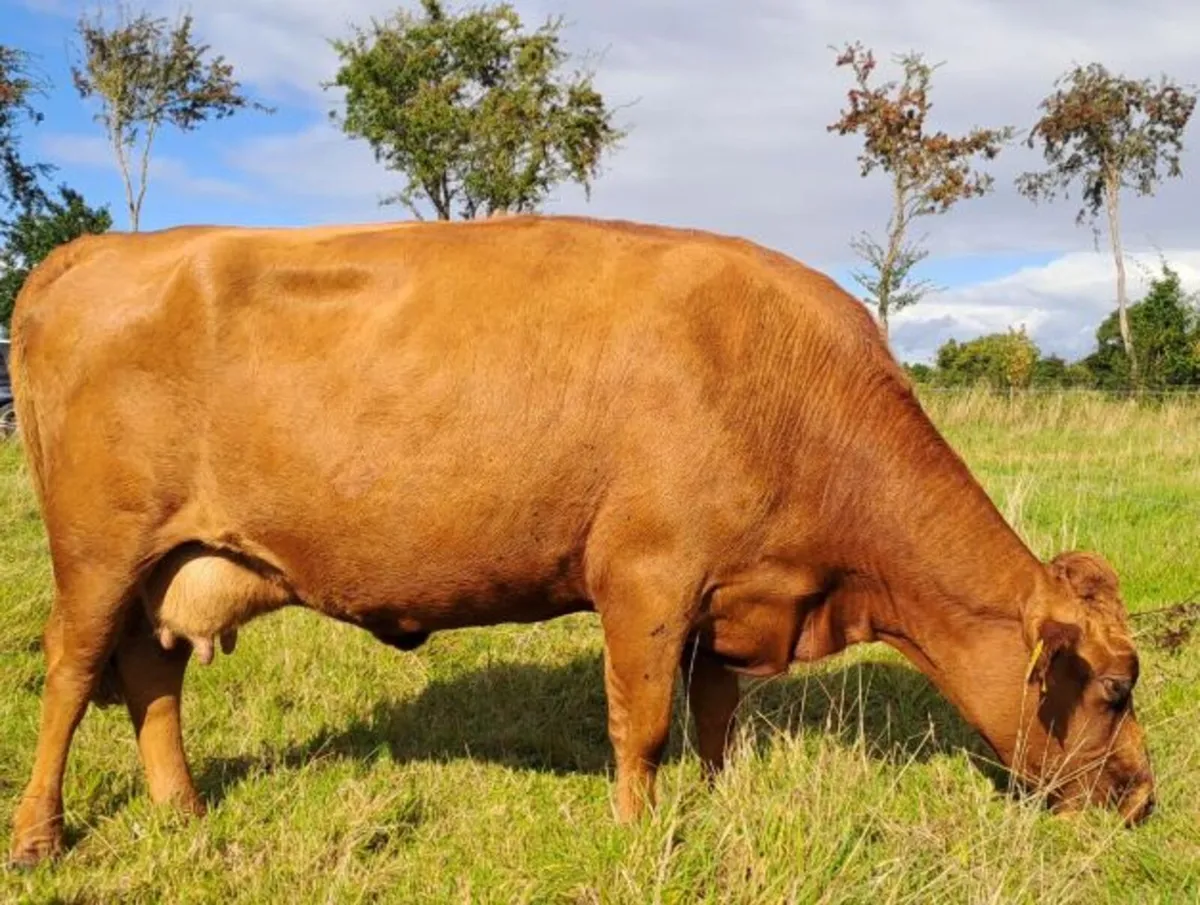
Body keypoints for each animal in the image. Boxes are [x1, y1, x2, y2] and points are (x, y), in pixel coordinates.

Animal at [7, 215, 1154, 866]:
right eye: (1112, 688)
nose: (1142, 798)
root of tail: (100, 248)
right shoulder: (646, 576)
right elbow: (642, 724)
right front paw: (640, 838)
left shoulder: (731, 595)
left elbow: (716, 717)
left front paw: (715, 806)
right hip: (98, 550)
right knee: (71, 671)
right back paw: (37, 836)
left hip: (175, 561)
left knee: (151, 674)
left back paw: (186, 814)